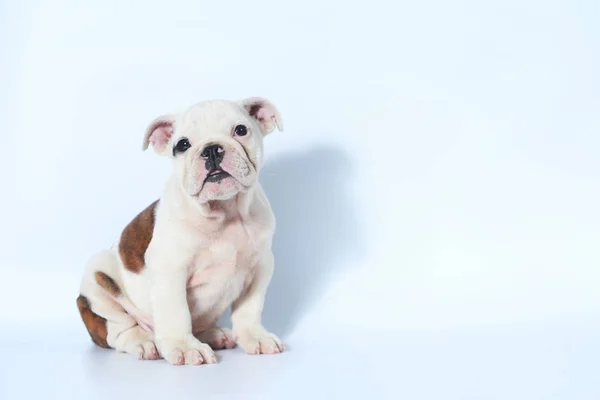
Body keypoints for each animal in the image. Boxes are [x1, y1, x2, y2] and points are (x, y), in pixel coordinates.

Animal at [77, 97, 284, 366]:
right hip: (98, 277)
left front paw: (255, 337)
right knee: (118, 330)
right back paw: (145, 342)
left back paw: (214, 335)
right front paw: (185, 347)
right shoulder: (170, 270)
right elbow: (176, 312)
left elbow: (249, 308)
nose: (212, 149)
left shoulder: (260, 267)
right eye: (182, 145)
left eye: (240, 130)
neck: (224, 212)